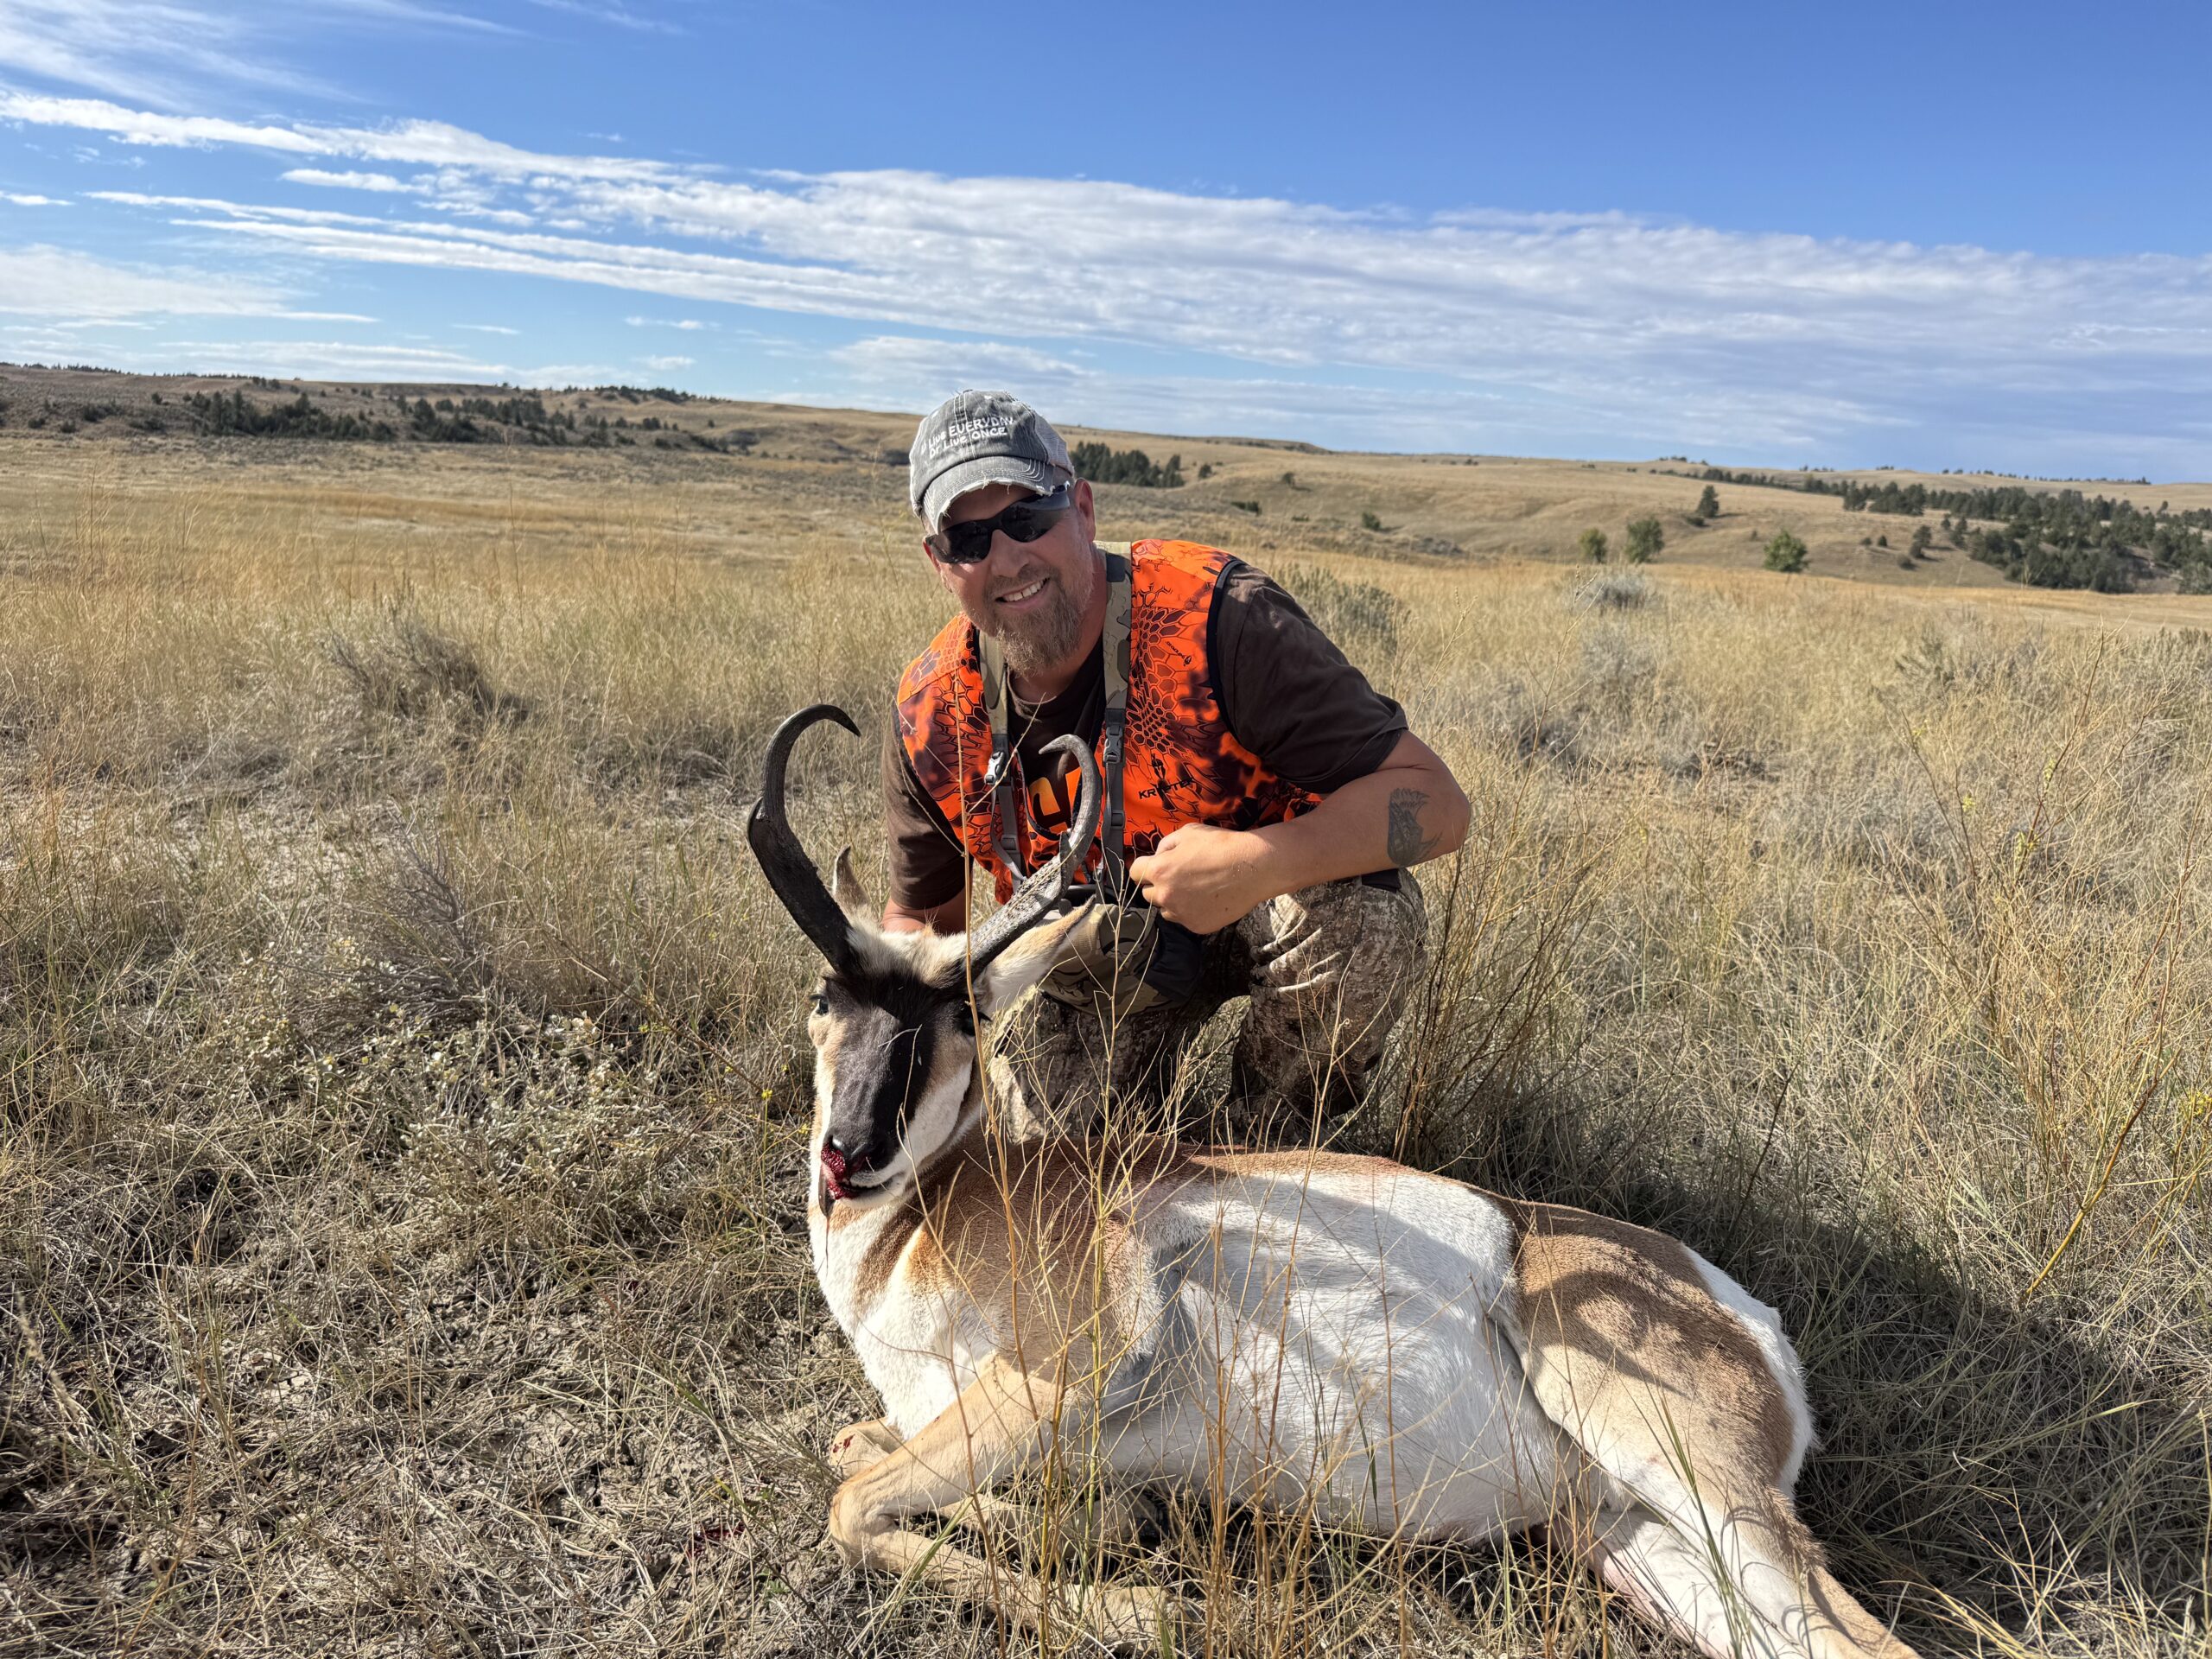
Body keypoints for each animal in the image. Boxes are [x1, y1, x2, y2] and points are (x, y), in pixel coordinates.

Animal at [749, 702, 1919, 1658]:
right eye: (824, 995)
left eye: (963, 1015)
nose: (850, 1158)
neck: (934, 1222)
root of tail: (1738, 1310)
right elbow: (867, 1451)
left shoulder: (1056, 1382)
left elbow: (855, 1505)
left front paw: (1143, 1607)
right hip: (1639, 1543)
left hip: (1695, 1486)